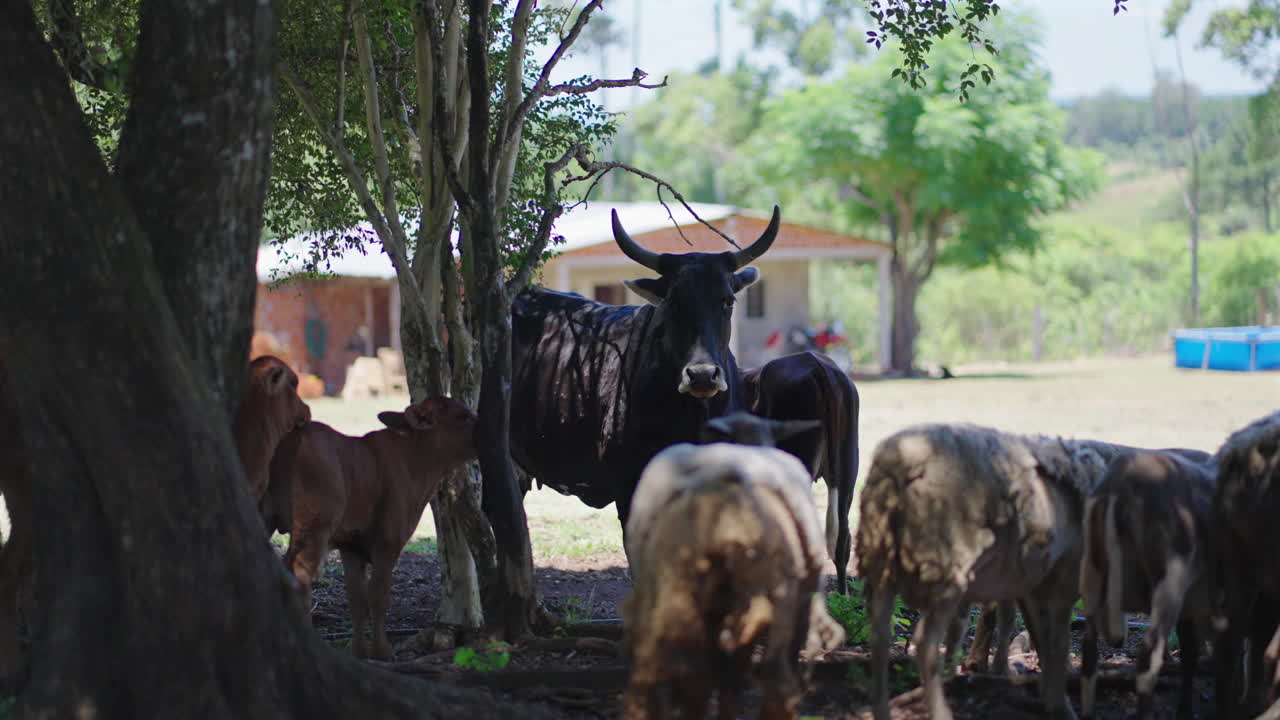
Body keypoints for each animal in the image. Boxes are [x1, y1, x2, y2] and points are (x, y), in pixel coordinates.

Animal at [264, 396, 478, 661]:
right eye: (463, 416)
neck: (419, 467)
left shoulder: (350, 545)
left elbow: (357, 599)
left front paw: (359, 652)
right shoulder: (389, 539)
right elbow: (378, 595)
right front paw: (382, 652)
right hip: (314, 526)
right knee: (298, 575)